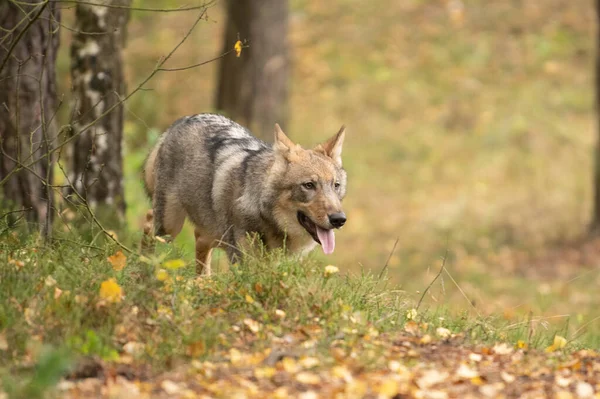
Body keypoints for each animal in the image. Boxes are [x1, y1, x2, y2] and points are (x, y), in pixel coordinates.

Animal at [143, 112, 346, 276]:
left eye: (335, 185)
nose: (339, 219)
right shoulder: (244, 263)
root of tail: (178, 122)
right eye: (309, 185)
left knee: (197, 238)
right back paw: (145, 267)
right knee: (149, 222)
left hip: (209, 232)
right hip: (170, 226)